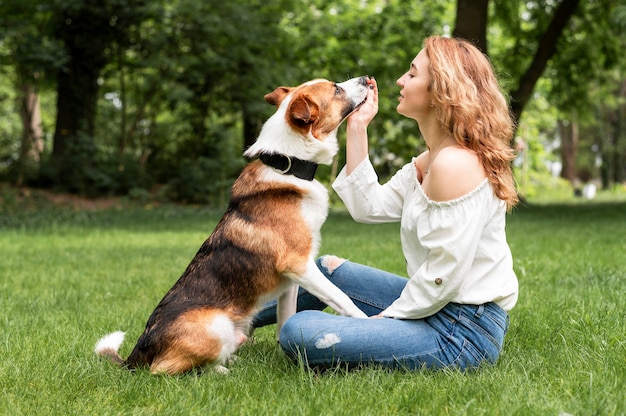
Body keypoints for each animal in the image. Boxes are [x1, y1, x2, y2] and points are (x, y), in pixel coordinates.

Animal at [94, 76, 370, 376]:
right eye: (336, 89)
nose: (366, 79)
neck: (288, 166)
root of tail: (137, 355)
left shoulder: (292, 280)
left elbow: (286, 321)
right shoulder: (298, 264)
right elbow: (343, 299)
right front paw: (372, 321)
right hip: (215, 327)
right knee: (164, 370)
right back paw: (220, 372)